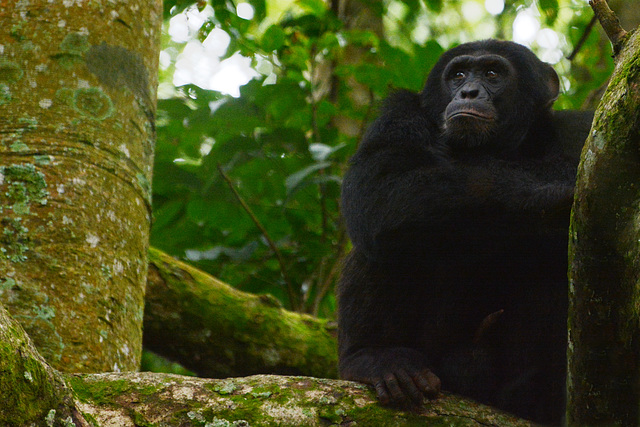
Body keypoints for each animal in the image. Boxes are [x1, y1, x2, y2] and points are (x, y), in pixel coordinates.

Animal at [340, 39, 596, 424]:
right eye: (458, 74)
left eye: (492, 73)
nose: (469, 91)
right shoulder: (397, 114)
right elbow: (381, 185)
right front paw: (552, 188)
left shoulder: (581, 130)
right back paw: (376, 358)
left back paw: (523, 396)